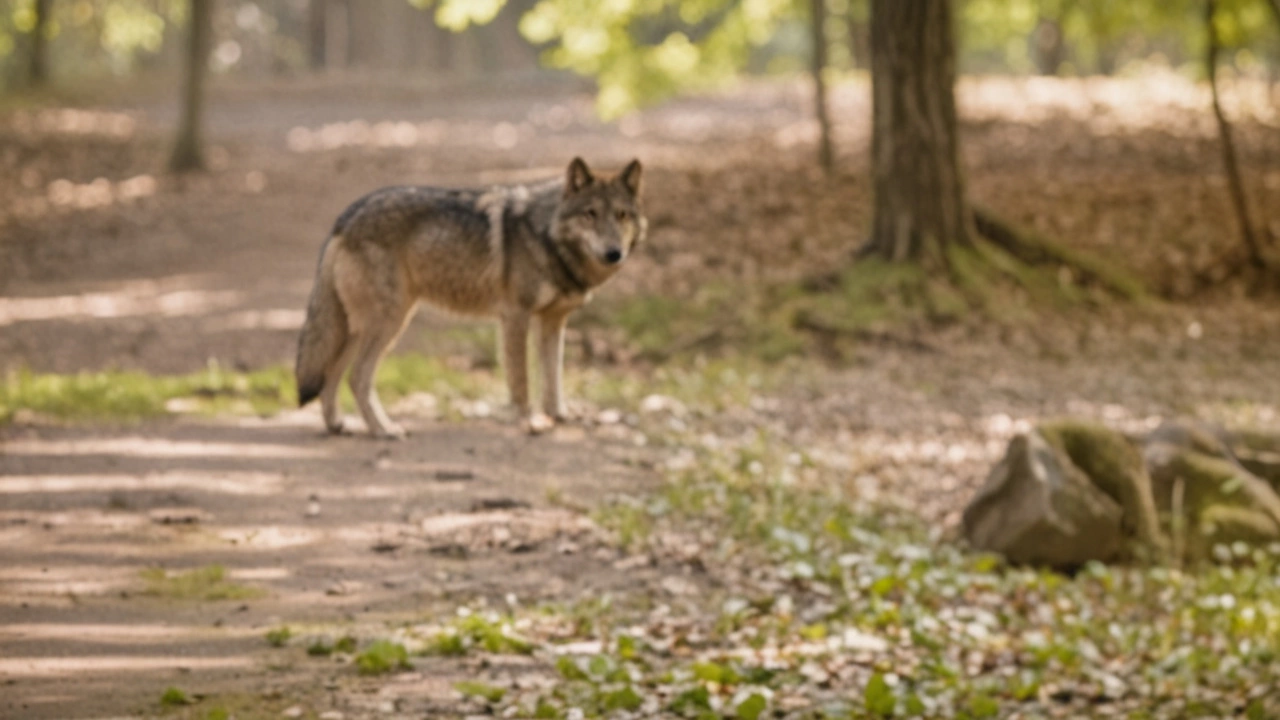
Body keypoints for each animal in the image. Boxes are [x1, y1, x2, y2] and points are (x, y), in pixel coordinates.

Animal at [293, 156, 645, 438]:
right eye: (590, 214)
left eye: (622, 215)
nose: (614, 253)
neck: (547, 236)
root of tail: (345, 219)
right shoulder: (515, 316)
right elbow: (520, 381)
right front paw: (528, 422)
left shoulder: (553, 322)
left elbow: (552, 379)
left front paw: (560, 417)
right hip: (388, 323)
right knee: (357, 377)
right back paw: (384, 430)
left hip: (362, 327)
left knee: (331, 374)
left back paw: (338, 426)